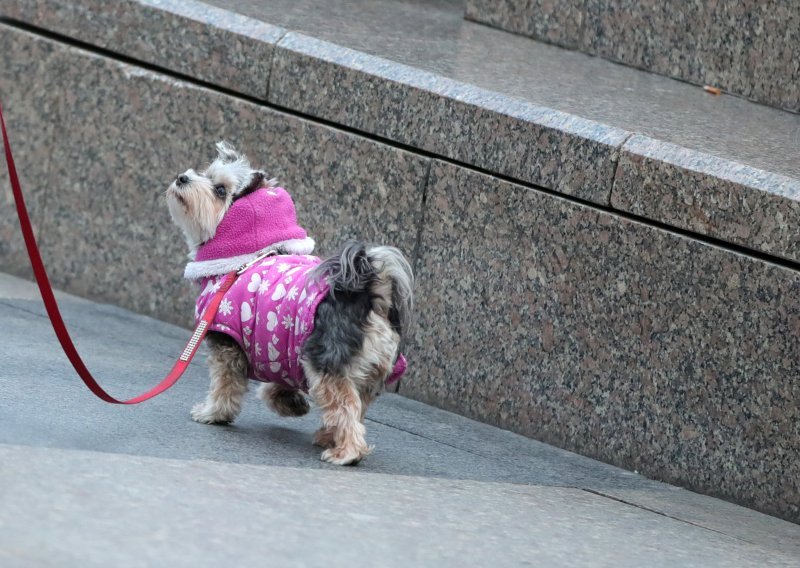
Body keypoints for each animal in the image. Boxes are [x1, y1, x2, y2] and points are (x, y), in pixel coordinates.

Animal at [163, 140, 412, 464]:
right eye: (204, 172)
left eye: (219, 190)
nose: (183, 177)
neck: (241, 259)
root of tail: (366, 293)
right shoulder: (279, 347)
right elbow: (276, 381)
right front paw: (288, 402)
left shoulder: (227, 344)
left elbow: (224, 386)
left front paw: (212, 413)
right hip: (366, 370)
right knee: (356, 406)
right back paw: (329, 436)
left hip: (325, 361)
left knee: (345, 405)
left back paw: (346, 452)